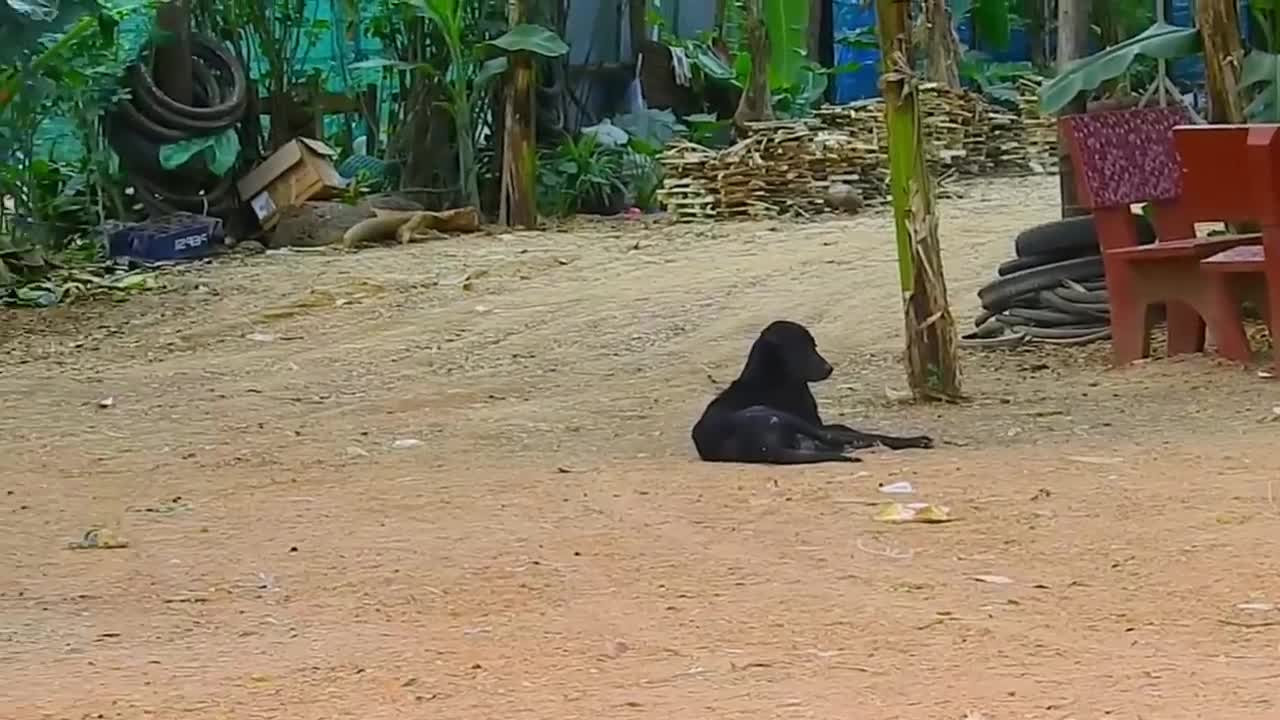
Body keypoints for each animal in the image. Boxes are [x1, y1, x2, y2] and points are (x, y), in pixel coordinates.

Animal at [691, 316, 931, 461]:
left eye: (814, 345)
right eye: (802, 348)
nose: (829, 368)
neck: (774, 375)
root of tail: (760, 447)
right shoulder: (816, 424)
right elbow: (856, 431)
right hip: (785, 418)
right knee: (851, 437)